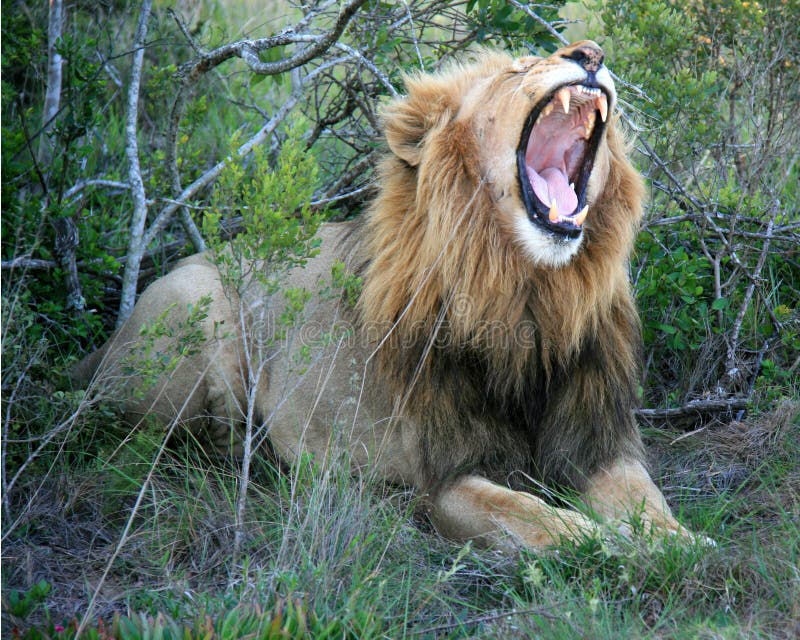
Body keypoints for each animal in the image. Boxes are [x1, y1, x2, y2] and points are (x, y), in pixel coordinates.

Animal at [73, 41, 700, 552]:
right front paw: (602, 542)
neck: (529, 295)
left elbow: (647, 501)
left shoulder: (597, 442)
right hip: (194, 311)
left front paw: (680, 545)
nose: (590, 53)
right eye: (517, 68)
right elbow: (528, 515)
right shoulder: (442, 476)